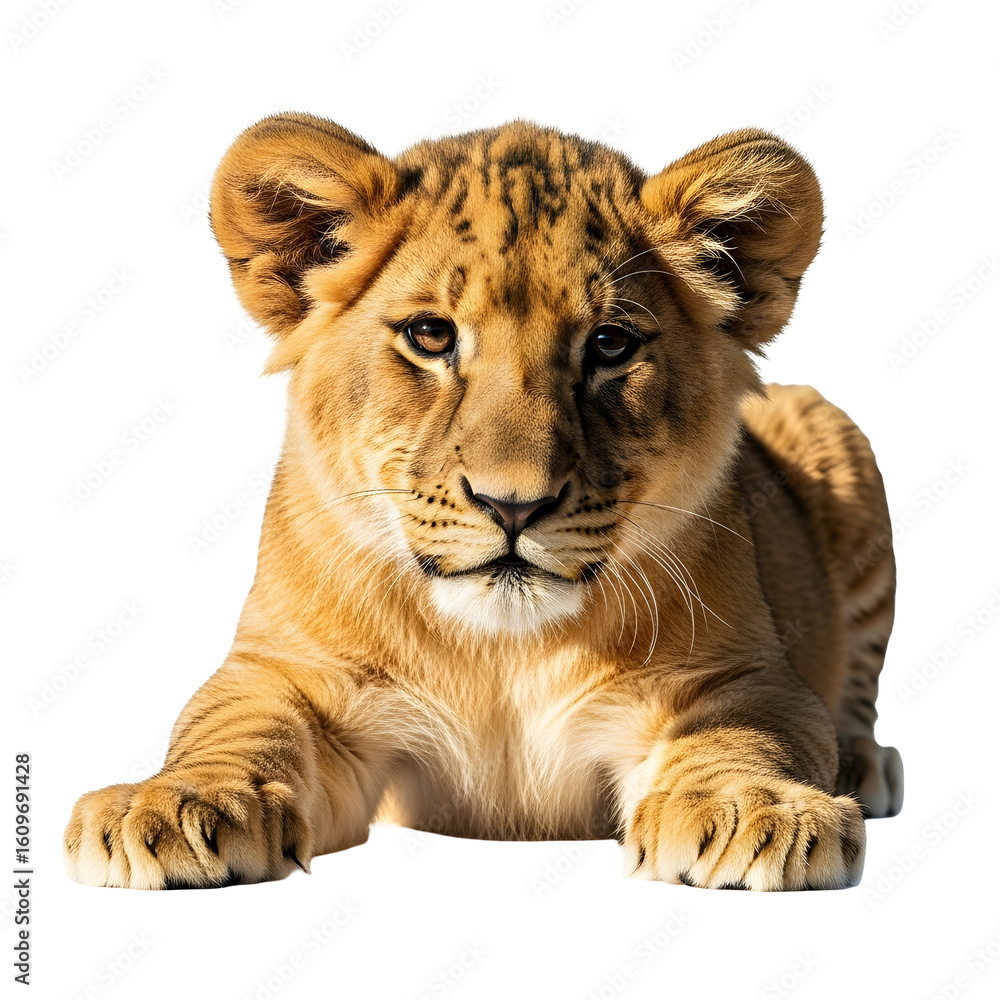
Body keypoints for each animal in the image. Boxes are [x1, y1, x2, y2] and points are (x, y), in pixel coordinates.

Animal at [64, 114, 902, 891]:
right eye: (431, 336)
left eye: (609, 345)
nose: (514, 507)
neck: (502, 652)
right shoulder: (287, 669)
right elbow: (231, 724)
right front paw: (173, 804)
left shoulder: (745, 673)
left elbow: (748, 734)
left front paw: (753, 810)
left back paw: (864, 766)